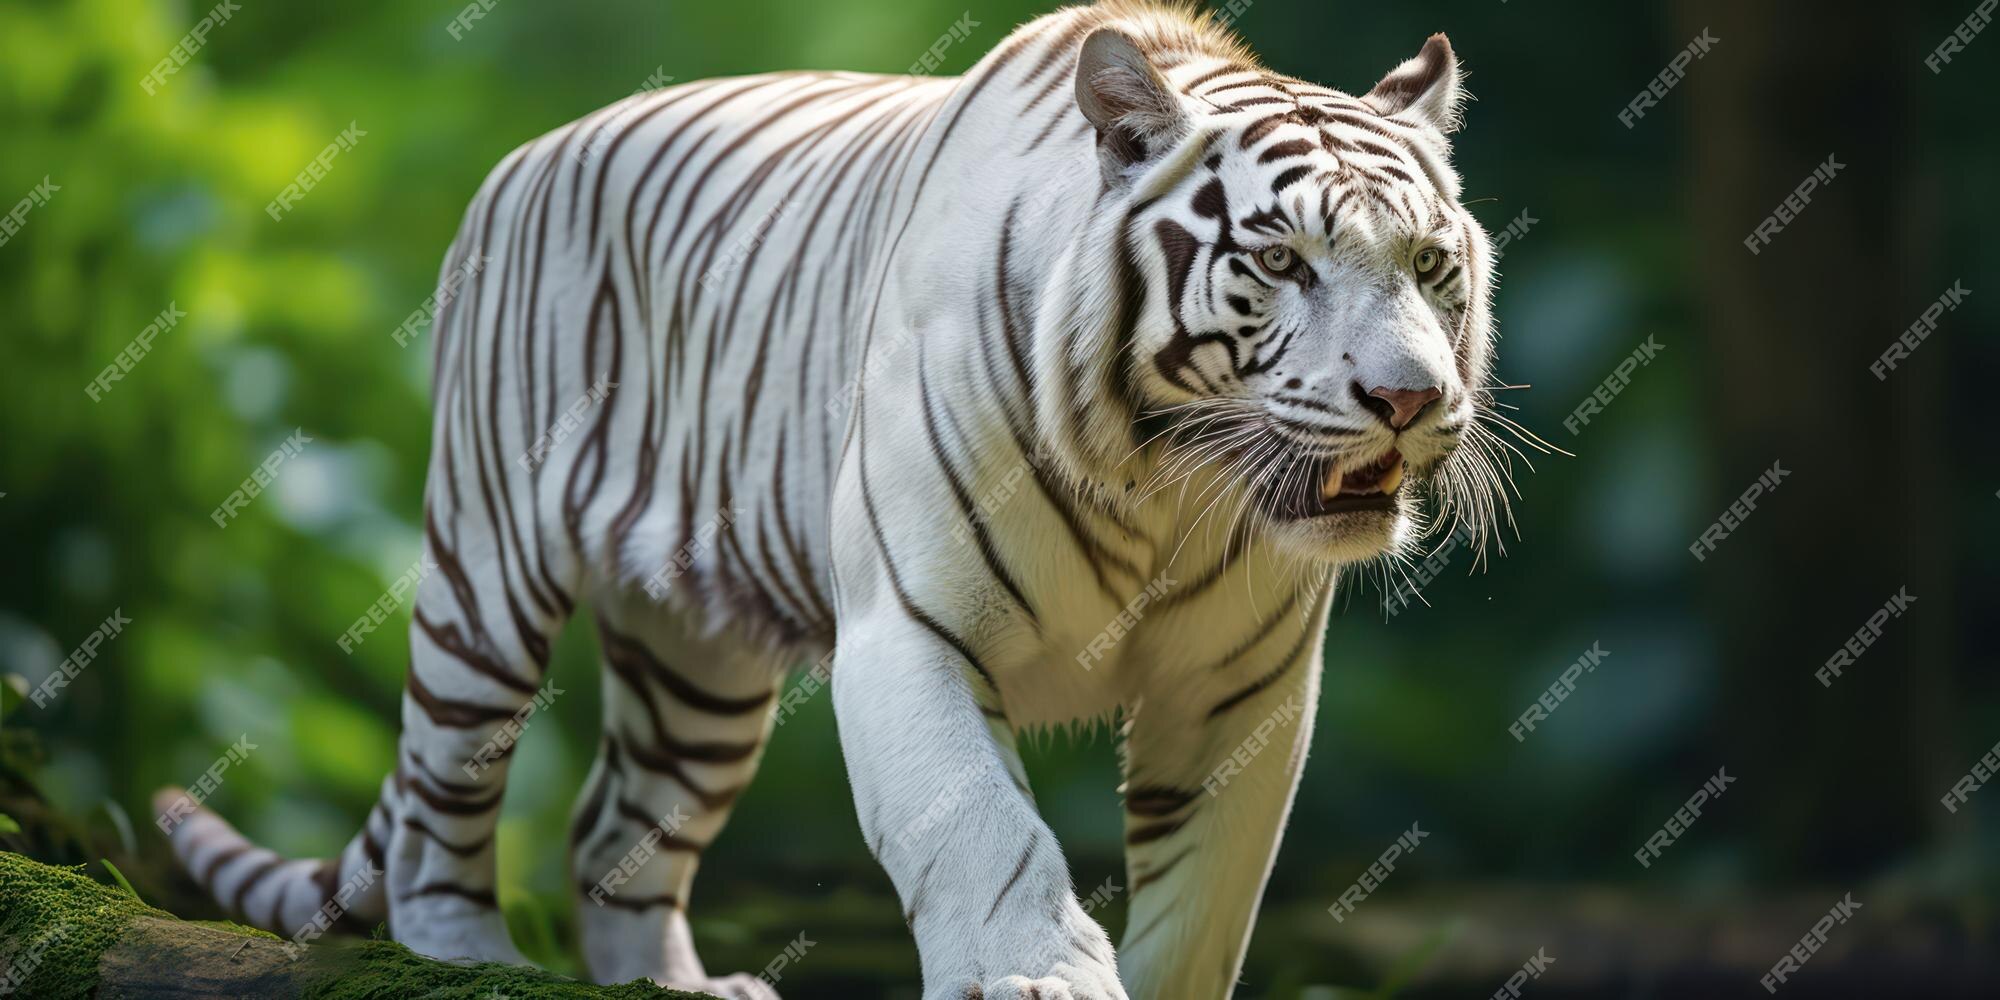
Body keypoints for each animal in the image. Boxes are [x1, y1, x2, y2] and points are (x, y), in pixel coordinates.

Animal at [156, 3, 1504, 996]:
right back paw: (471, 959)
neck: (1161, 483)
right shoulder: (912, 626)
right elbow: (985, 836)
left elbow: (1200, 900)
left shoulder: (1238, 691)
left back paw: (683, 989)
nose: (1406, 397)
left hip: (696, 669)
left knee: (611, 829)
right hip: (487, 577)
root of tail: (531, 149)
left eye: (1428, 265)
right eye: (1280, 260)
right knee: (443, 793)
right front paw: (1035, 975)